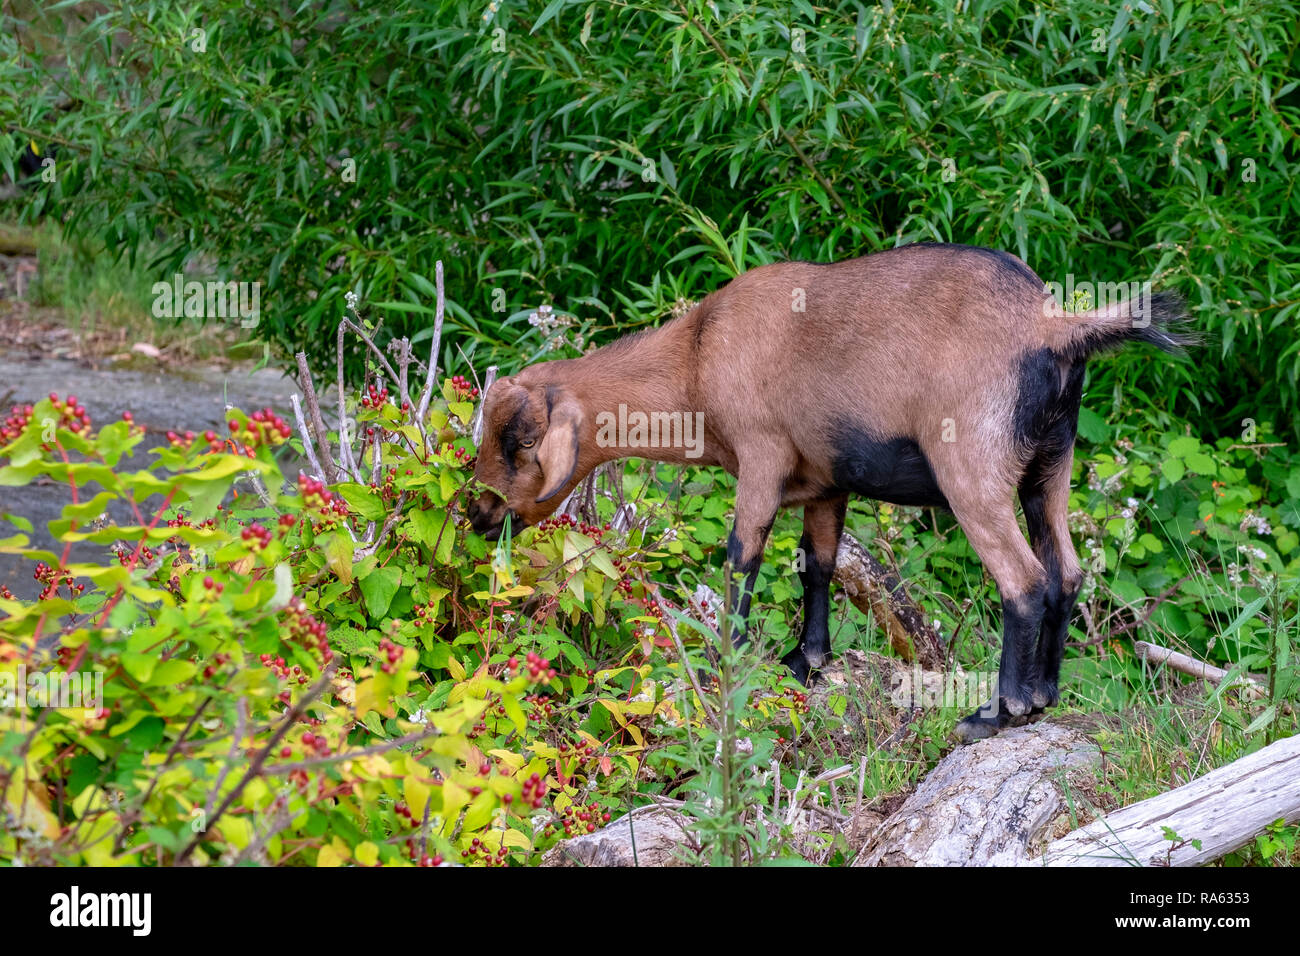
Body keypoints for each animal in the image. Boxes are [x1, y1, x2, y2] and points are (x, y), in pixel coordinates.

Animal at [470, 243, 1190, 743]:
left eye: (518, 442)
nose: (477, 513)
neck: (697, 354)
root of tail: (1053, 327)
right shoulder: (824, 484)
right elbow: (815, 565)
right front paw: (806, 660)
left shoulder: (761, 457)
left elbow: (743, 558)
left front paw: (730, 663)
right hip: (1050, 471)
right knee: (1066, 573)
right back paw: (1043, 697)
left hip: (974, 474)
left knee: (1025, 582)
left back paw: (995, 714)